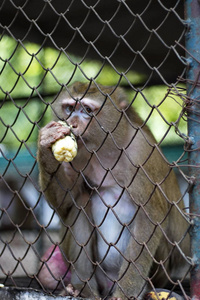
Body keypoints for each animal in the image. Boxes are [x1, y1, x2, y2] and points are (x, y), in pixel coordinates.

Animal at [37, 81, 189, 298]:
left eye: (87, 110)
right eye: (69, 108)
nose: (72, 124)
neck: (106, 147)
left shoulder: (141, 150)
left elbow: (149, 215)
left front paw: (126, 294)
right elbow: (66, 204)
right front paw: (46, 143)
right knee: (82, 202)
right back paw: (84, 288)